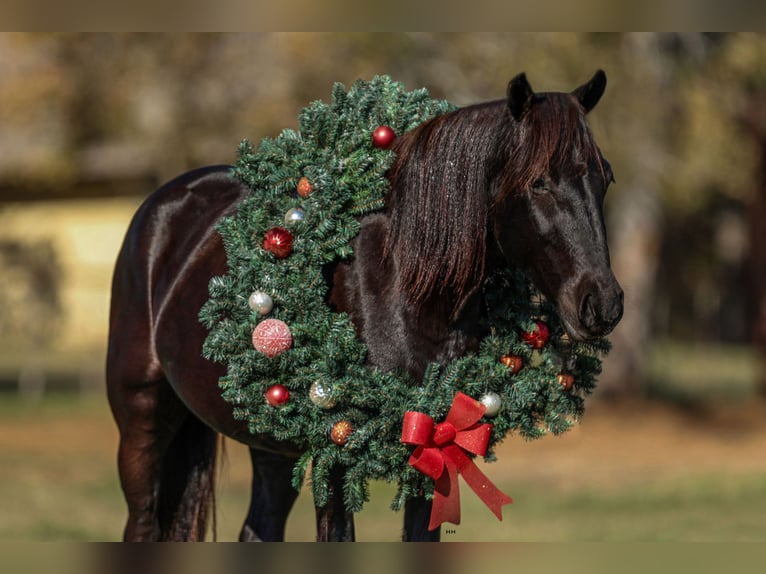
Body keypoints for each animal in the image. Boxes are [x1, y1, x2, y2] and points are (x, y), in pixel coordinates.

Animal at [106, 70, 624, 544]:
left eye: (606, 177)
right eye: (539, 183)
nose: (603, 304)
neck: (402, 286)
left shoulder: (431, 452)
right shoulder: (335, 460)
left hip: (272, 446)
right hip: (142, 421)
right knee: (142, 523)